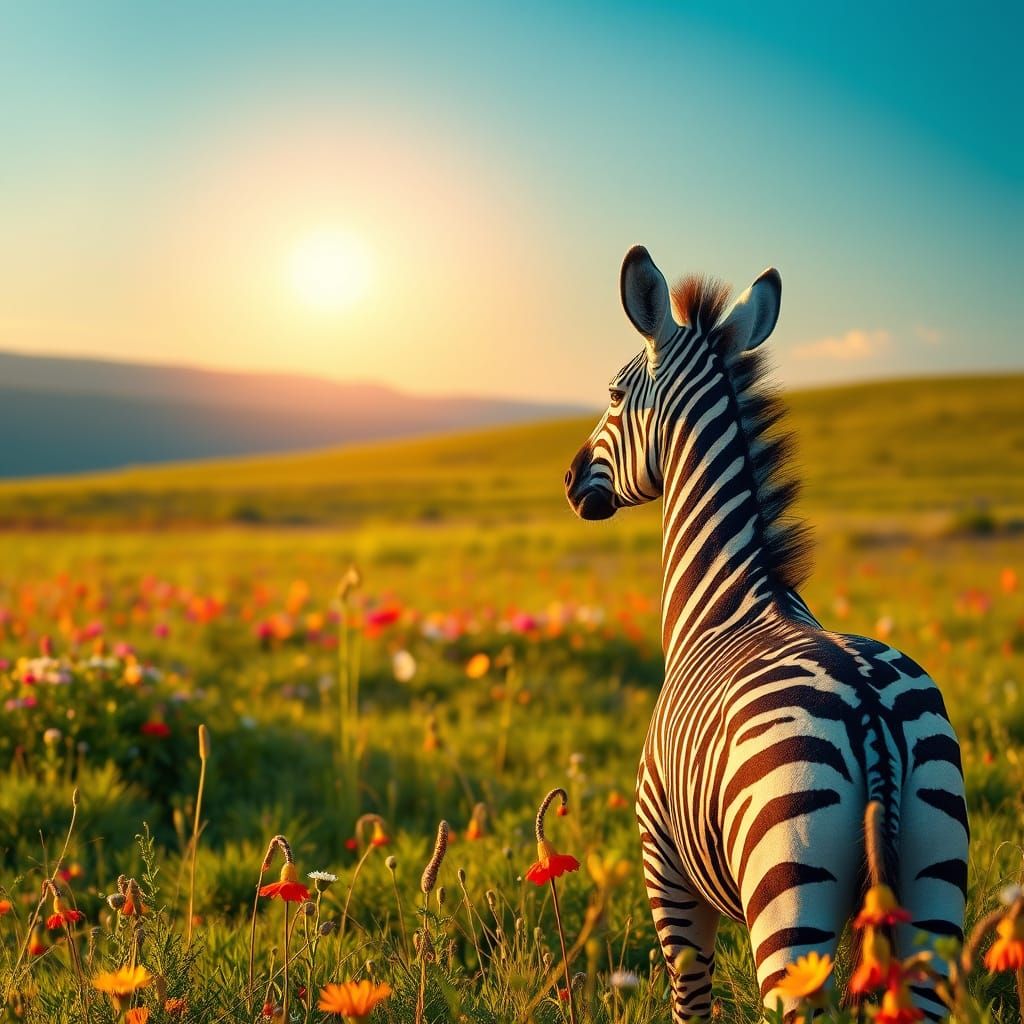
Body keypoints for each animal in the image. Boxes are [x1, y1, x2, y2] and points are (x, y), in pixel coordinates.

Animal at [564, 245, 968, 1021]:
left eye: (614, 394)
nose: (569, 482)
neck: (730, 602)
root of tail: (871, 713)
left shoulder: (666, 871)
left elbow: (690, 1000)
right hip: (933, 888)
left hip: (787, 896)